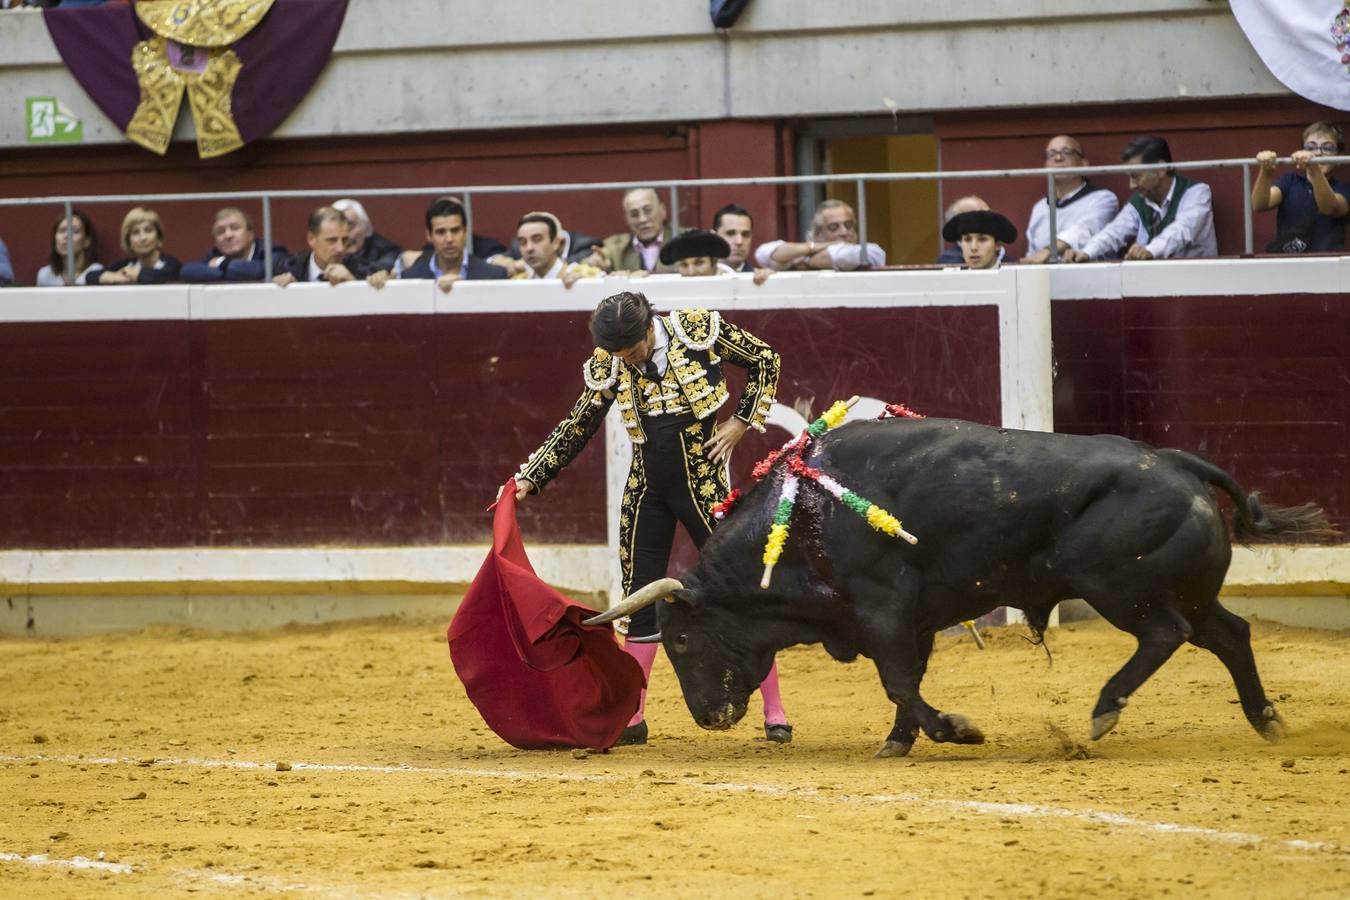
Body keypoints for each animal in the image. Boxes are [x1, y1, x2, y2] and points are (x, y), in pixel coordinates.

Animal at [585, 418, 1333, 755]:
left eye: (683, 639)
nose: (709, 716)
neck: (806, 517)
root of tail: (1177, 463)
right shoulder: (909, 620)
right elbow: (906, 681)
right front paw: (899, 742)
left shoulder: (883, 609)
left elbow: (898, 680)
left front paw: (954, 730)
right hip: (1190, 590)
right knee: (1229, 633)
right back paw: (1267, 720)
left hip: (1120, 587)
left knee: (1164, 635)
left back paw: (1103, 711)